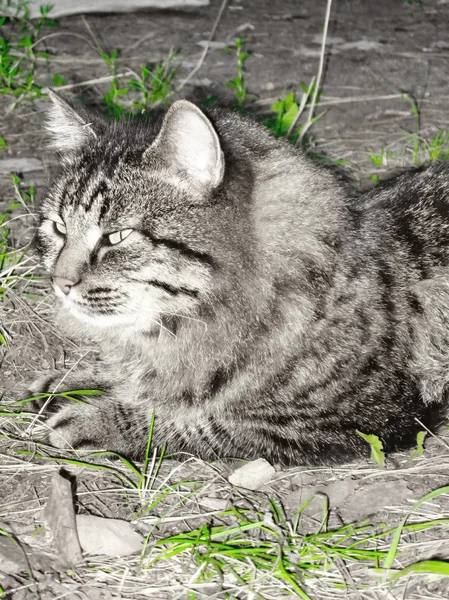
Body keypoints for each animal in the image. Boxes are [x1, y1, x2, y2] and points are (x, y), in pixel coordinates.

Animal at [31, 90, 448, 464]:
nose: (60, 282)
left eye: (117, 237)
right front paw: (72, 382)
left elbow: (197, 422)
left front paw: (97, 419)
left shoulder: (351, 421)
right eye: (58, 228)